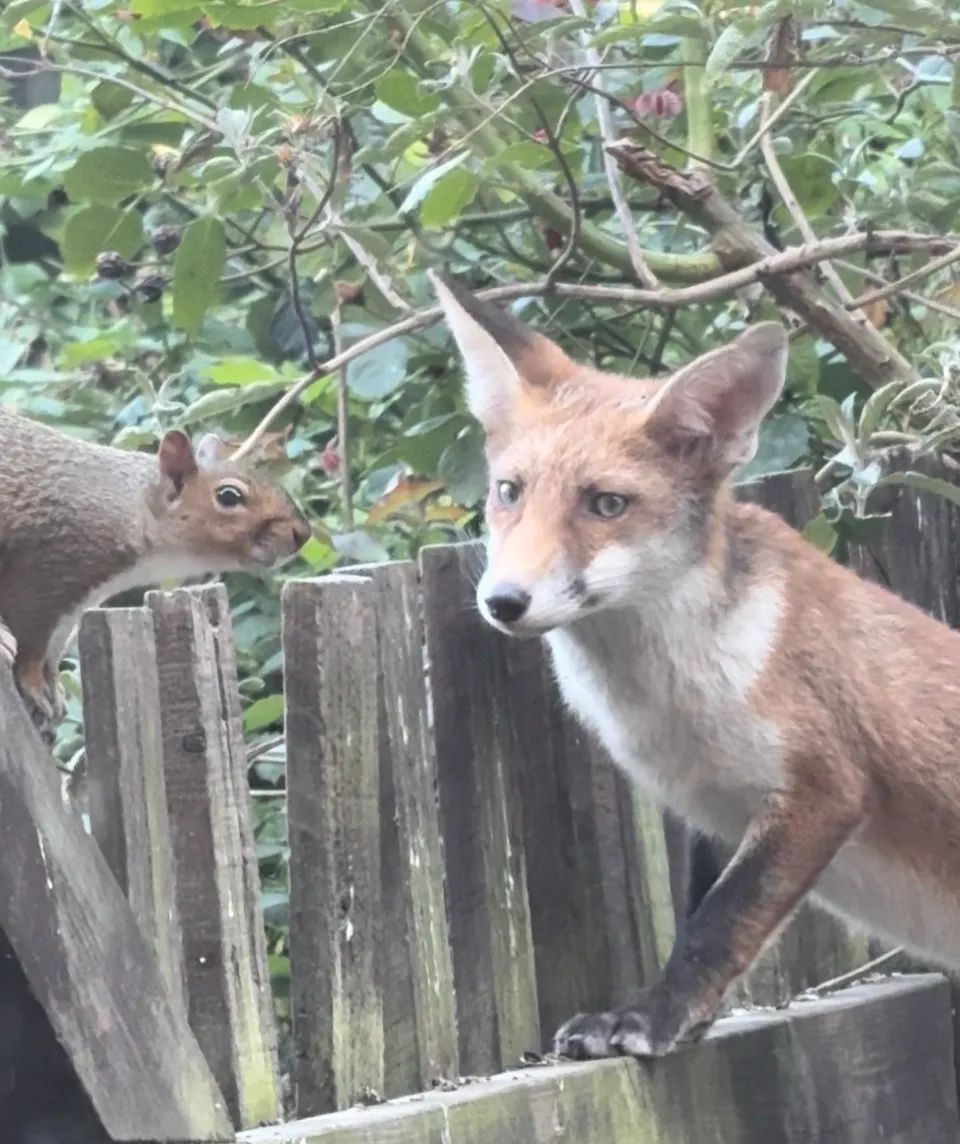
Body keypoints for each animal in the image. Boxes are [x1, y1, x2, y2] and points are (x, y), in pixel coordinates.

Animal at [0, 407, 311, 740]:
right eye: (229, 496)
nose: (302, 533)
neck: (135, 508)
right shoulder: (48, 568)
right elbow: (30, 640)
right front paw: (34, 685)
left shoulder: (73, 603)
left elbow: (54, 649)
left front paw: (54, 688)